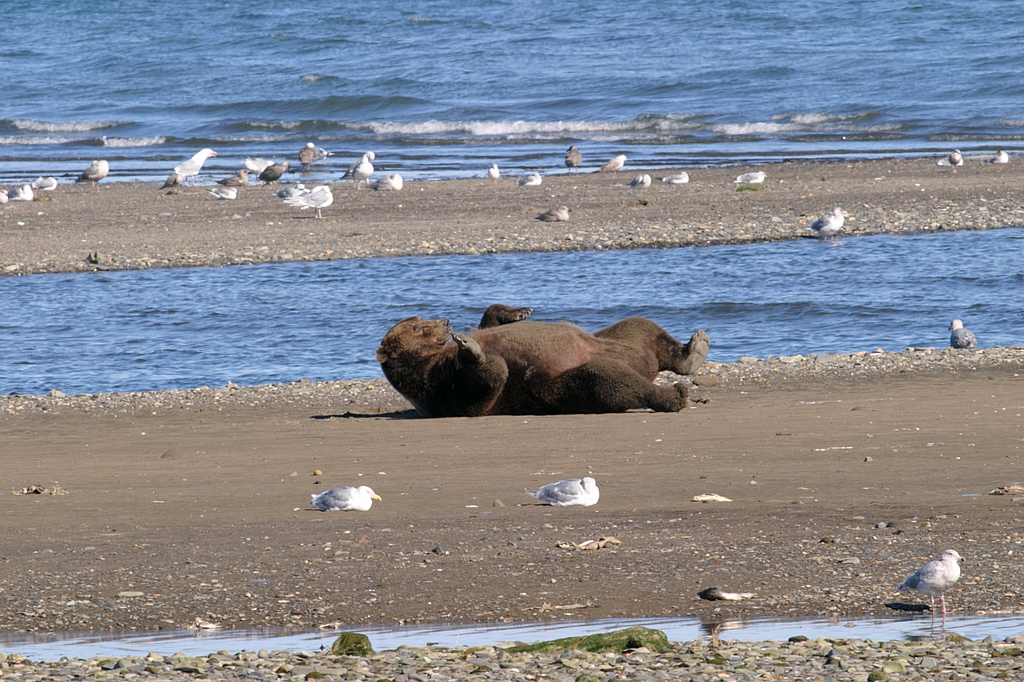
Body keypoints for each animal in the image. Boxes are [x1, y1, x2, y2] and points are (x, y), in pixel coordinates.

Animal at [378, 303, 712, 417]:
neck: (427, 359)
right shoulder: (439, 385)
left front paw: (518, 312)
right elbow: (487, 382)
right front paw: (470, 348)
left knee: (640, 325)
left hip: (620, 339)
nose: (446, 322)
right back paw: (673, 394)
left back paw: (694, 350)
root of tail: (647, 366)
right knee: (609, 378)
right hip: (566, 385)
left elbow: (489, 322)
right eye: (417, 327)